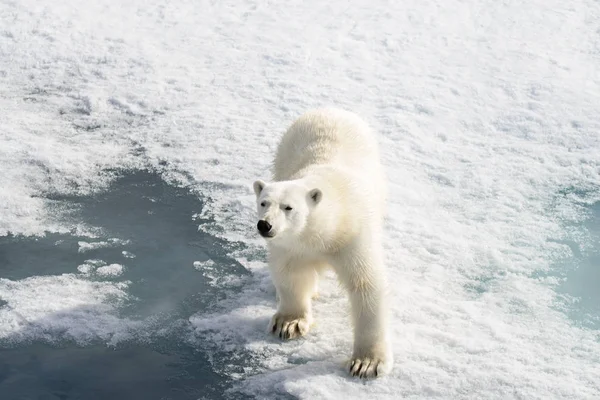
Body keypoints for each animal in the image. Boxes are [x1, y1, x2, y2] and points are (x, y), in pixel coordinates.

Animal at [251, 107, 392, 378]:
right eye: (263, 202)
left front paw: (366, 363)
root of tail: (330, 109)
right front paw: (289, 323)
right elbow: (291, 274)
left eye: (288, 207)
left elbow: (365, 284)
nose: (265, 225)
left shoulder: (352, 236)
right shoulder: (292, 246)